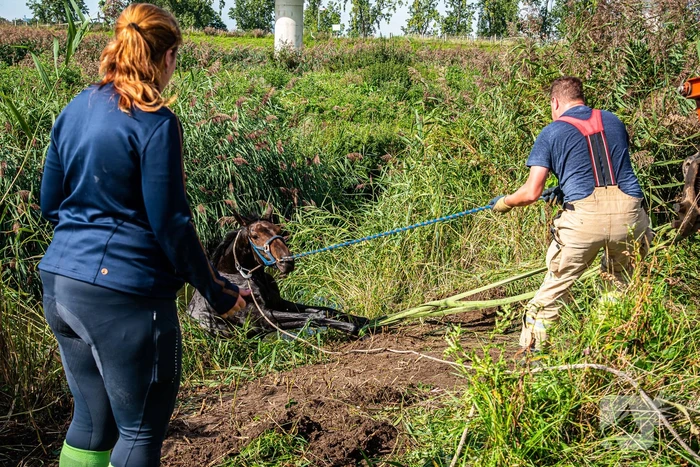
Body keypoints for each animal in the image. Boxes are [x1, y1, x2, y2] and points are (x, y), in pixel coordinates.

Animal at [187, 205, 367, 336]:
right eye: (254, 236)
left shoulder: (280, 303)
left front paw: (362, 320)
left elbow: (324, 310)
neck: (239, 276)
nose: (287, 262)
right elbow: (313, 316)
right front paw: (352, 328)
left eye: (278, 230)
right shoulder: (263, 319)